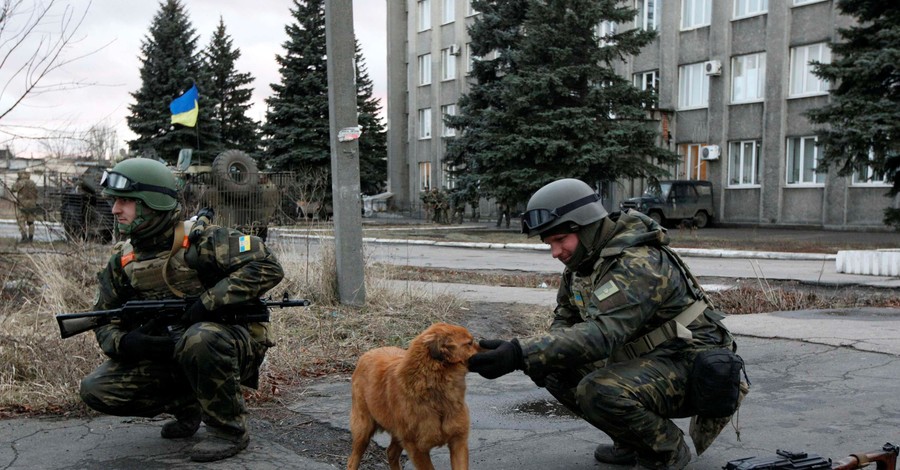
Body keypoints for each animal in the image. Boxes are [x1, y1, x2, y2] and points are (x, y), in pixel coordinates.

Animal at [348, 324, 482, 470]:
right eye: (469, 343)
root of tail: (369, 352)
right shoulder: (417, 450)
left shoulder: (458, 442)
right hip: (363, 430)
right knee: (352, 460)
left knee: (391, 453)